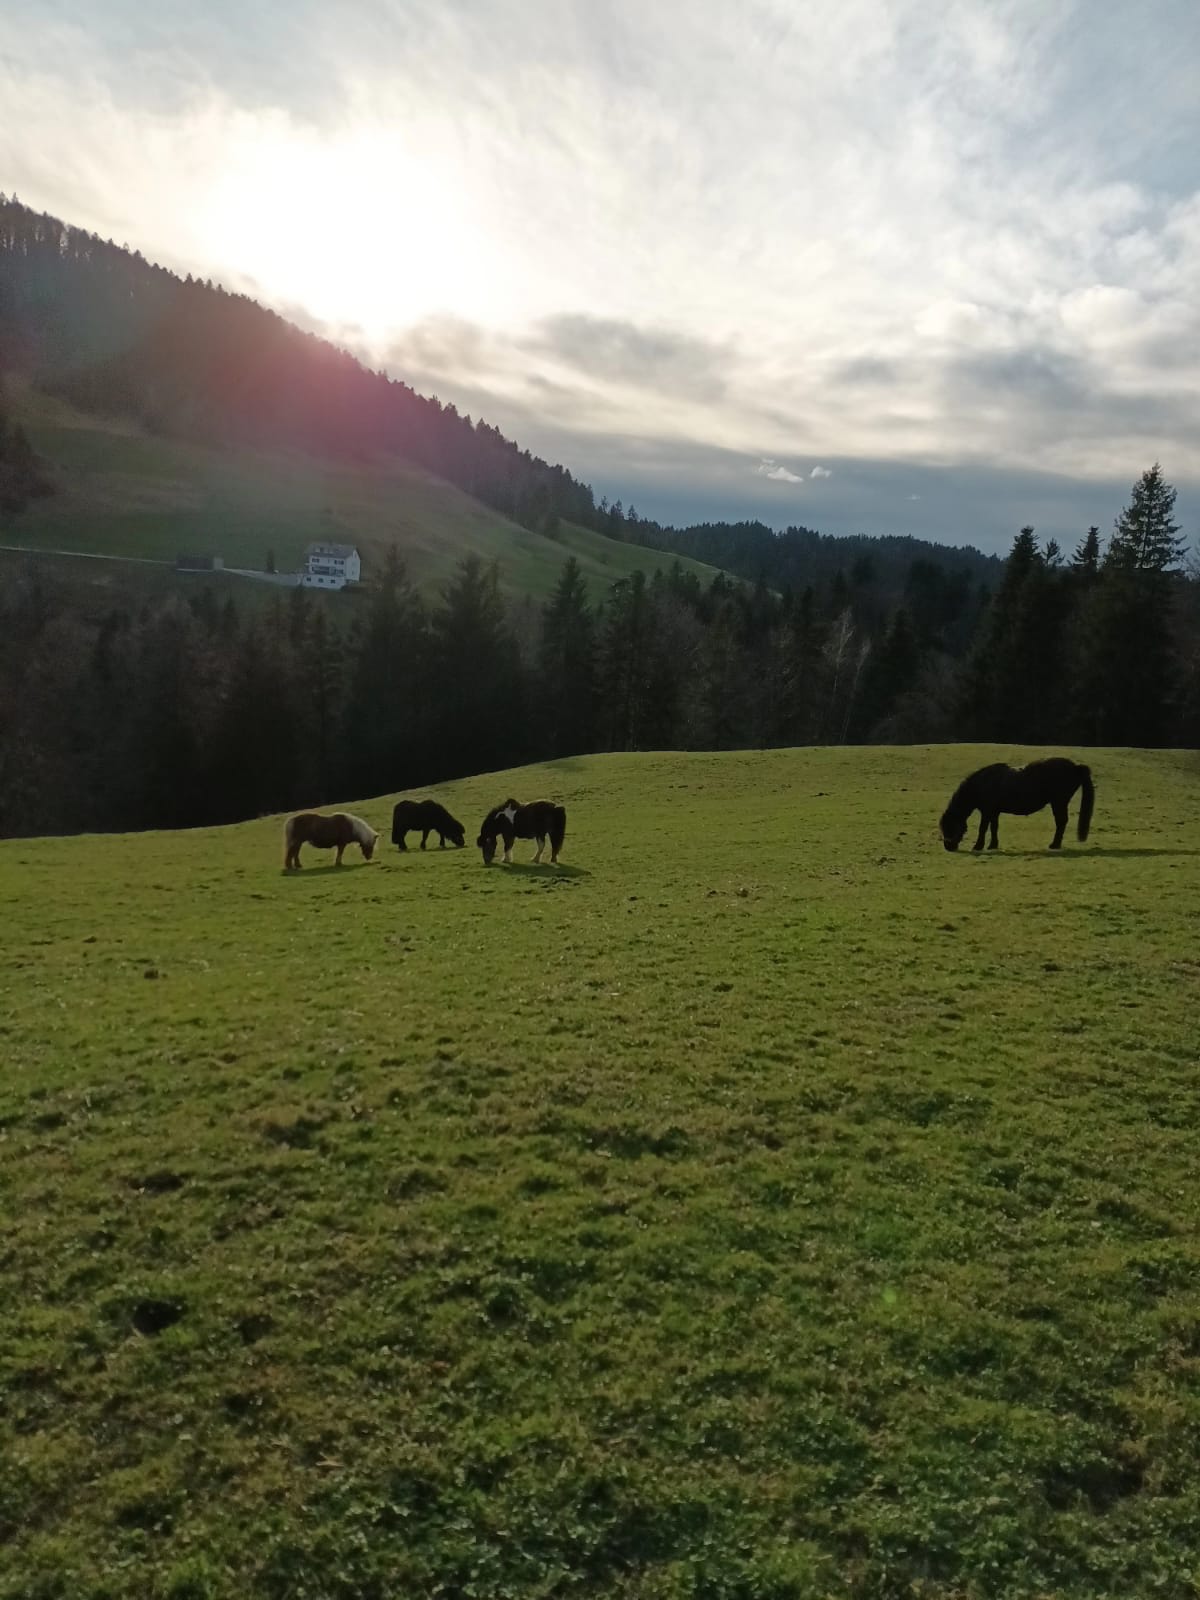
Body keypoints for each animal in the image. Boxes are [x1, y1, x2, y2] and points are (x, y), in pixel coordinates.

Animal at [939, 758, 1095, 853]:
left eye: (950, 826)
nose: (948, 847)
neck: (981, 784)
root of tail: (1075, 767)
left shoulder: (987, 811)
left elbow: (983, 828)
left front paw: (978, 846)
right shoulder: (994, 812)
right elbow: (994, 828)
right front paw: (992, 845)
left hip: (1059, 802)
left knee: (1061, 822)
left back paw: (1055, 845)